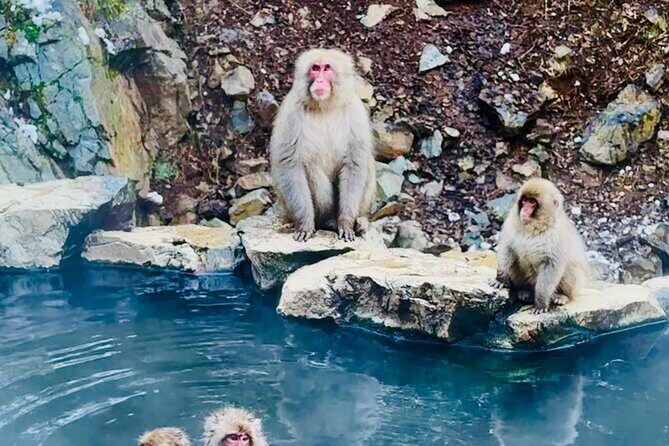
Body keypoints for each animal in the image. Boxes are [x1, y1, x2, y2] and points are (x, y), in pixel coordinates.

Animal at [270, 48, 376, 242]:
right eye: (315, 68)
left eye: (326, 68)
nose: (319, 80)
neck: (324, 106)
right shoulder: (291, 113)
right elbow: (291, 164)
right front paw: (305, 224)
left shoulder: (356, 112)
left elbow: (355, 163)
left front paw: (346, 223)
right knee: (310, 166)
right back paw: (326, 221)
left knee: (367, 164)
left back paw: (358, 221)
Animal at [492, 178, 589, 313]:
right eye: (525, 200)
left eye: (532, 202)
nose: (524, 210)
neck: (535, 226)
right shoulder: (511, 219)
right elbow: (508, 248)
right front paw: (500, 278)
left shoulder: (557, 236)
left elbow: (552, 265)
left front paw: (541, 303)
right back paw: (524, 291)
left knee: (572, 268)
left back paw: (562, 296)